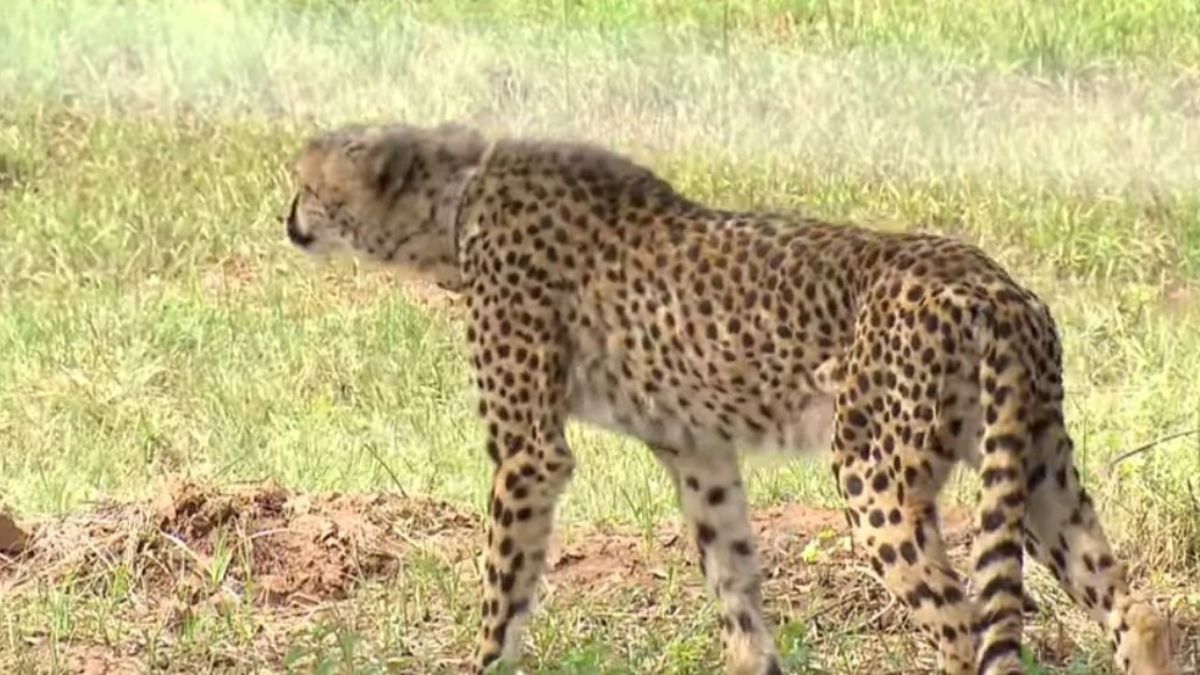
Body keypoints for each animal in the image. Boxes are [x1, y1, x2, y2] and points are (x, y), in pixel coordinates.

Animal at [280, 121, 1180, 672]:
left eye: (307, 182)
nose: (287, 219)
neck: (456, 201)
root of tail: (992, 283)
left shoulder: (529, 455)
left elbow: (503, 592)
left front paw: (485, 656)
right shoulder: (699, 450)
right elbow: (734, 582)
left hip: (876, 476)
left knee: (962, 633)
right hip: (1034, 463)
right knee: (1135, 609)